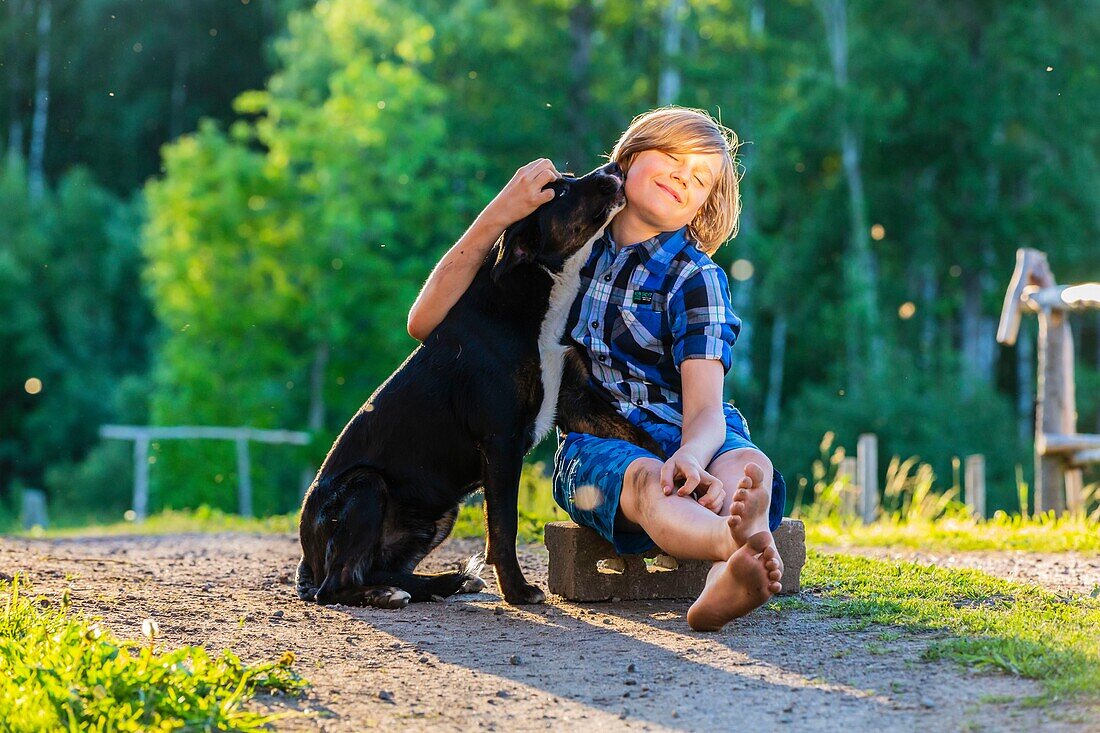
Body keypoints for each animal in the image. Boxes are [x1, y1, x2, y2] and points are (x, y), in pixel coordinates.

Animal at [297, 159, 651, 603]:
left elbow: (642, 439)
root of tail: (306, 560)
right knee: (337, 583)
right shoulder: (501, 440)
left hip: (438, 517)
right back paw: (384, 595)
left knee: (379, 569)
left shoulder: (574, 401)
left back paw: (445, 582)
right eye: (561, 191)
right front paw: (518, 591)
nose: (615, 168)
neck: (526, 302)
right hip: (366, 486)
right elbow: (503, 527)